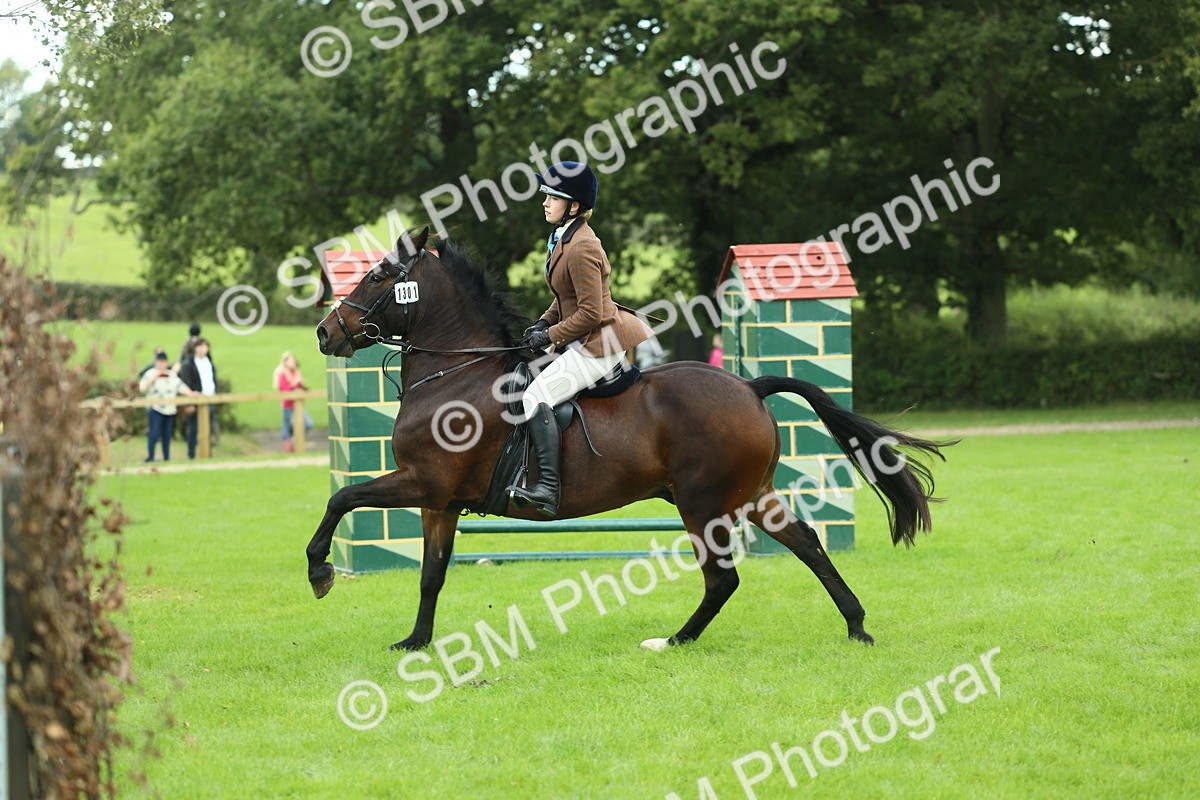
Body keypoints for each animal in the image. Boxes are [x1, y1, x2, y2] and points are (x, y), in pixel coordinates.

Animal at [308, 226, 952, 651]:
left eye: (376, 275)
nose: (324, 333)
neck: (455, 373)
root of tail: (749, 385)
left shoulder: (422, 482)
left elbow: (340, 499)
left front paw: (319, 573)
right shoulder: (438, 501)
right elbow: (431, 574)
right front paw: (415, 642)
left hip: (702, 504)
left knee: (723, 578)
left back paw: (674, 641)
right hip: (750, 496)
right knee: (806, 543)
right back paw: (856, 625)